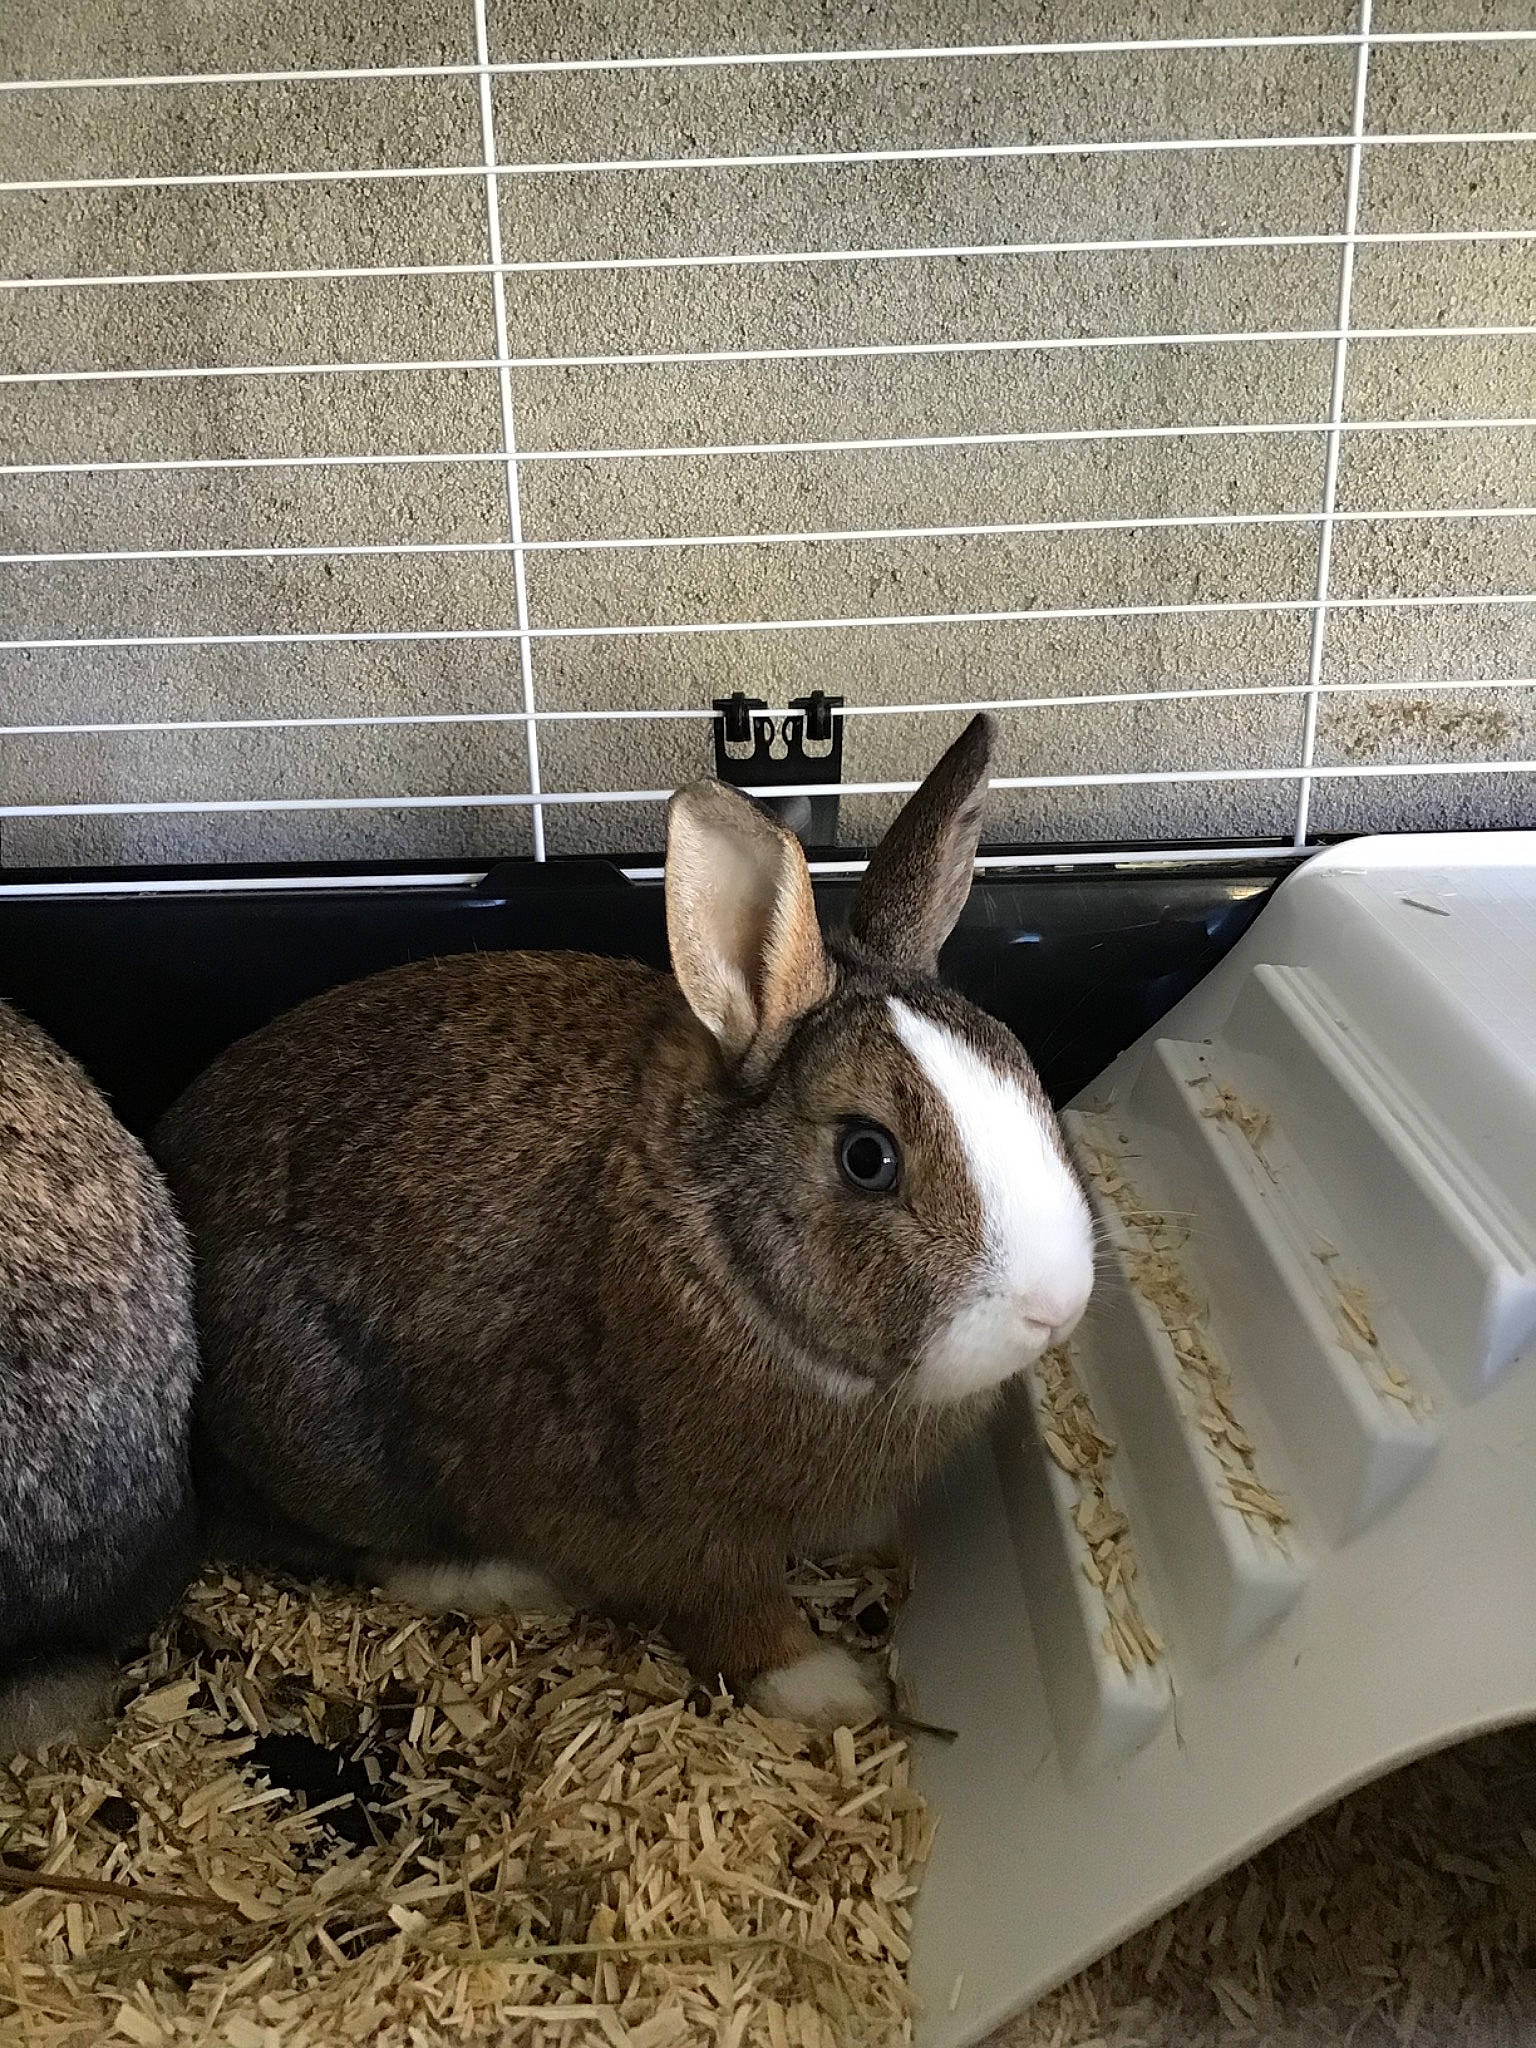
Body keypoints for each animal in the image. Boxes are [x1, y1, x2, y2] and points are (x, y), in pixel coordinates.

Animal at [155, 713, 1092, 1725]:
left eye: (1023, 1068)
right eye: (867, 1158)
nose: (1059, 1307)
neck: (718, 1245)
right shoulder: (678, 1518)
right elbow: (733, 1609)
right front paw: (826, 1689)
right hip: (337, 1440)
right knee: (369, 1552)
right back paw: (512, 1581)